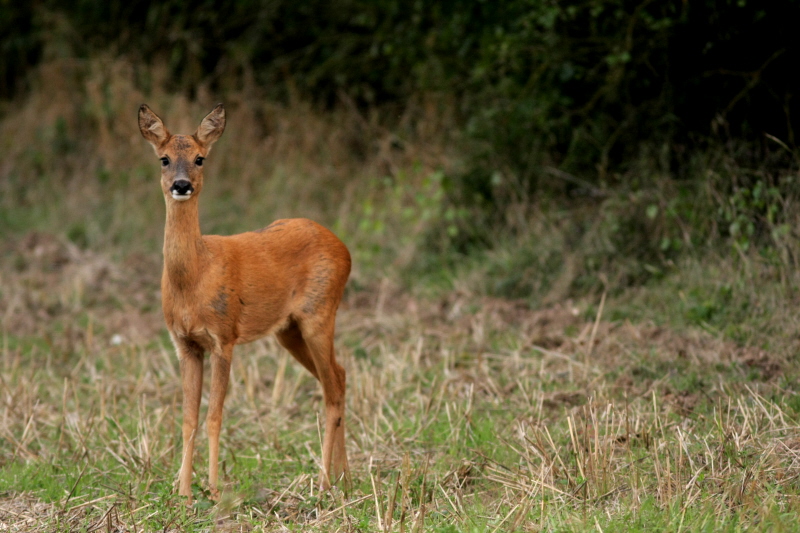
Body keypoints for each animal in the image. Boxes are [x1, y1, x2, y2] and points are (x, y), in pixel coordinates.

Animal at [140, 103, 350, 498]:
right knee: (340, 376)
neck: (194, 278)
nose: (181, 185)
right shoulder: (185, 343)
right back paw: (345, 476)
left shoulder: (225, 337)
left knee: (331, 389)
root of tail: (345, 249)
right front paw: (183, 492)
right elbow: (188, 418)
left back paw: (324, 482)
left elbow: (214, 416)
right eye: (163, 159)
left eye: (200, 158)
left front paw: (213, 488)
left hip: (320, 313)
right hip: (289, 331)